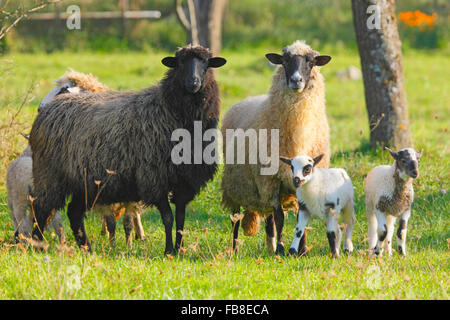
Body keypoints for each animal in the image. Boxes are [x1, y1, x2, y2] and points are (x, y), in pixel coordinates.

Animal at [221, 40, 330, 255]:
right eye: (285, 60)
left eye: (311, 61)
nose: (296, 80)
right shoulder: (271, 180)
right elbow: (280, 217)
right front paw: (281, 248)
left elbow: (300, 218)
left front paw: (302, 250)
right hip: (235, 184)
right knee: (236, 219)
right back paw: (237, 248)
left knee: (268, 218)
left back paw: (270, 246)